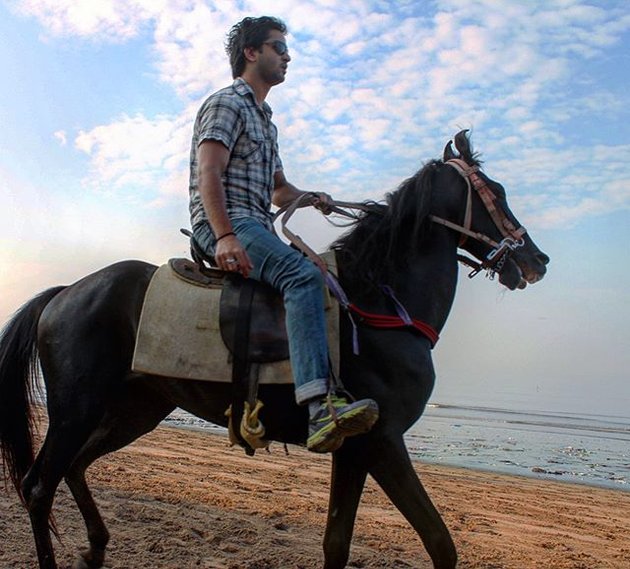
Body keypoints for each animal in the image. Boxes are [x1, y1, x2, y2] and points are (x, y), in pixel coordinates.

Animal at [0, 131, 552, 564]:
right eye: (496, 192)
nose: (537, 260)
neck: (378, 303)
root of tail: (66, 292)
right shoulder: (383, 441)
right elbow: (440, 543)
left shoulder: (355, 450)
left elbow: (337, 544)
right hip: (76, 409)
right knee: (38, 486)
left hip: (135, 410)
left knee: (75, 467)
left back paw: (95, 548)